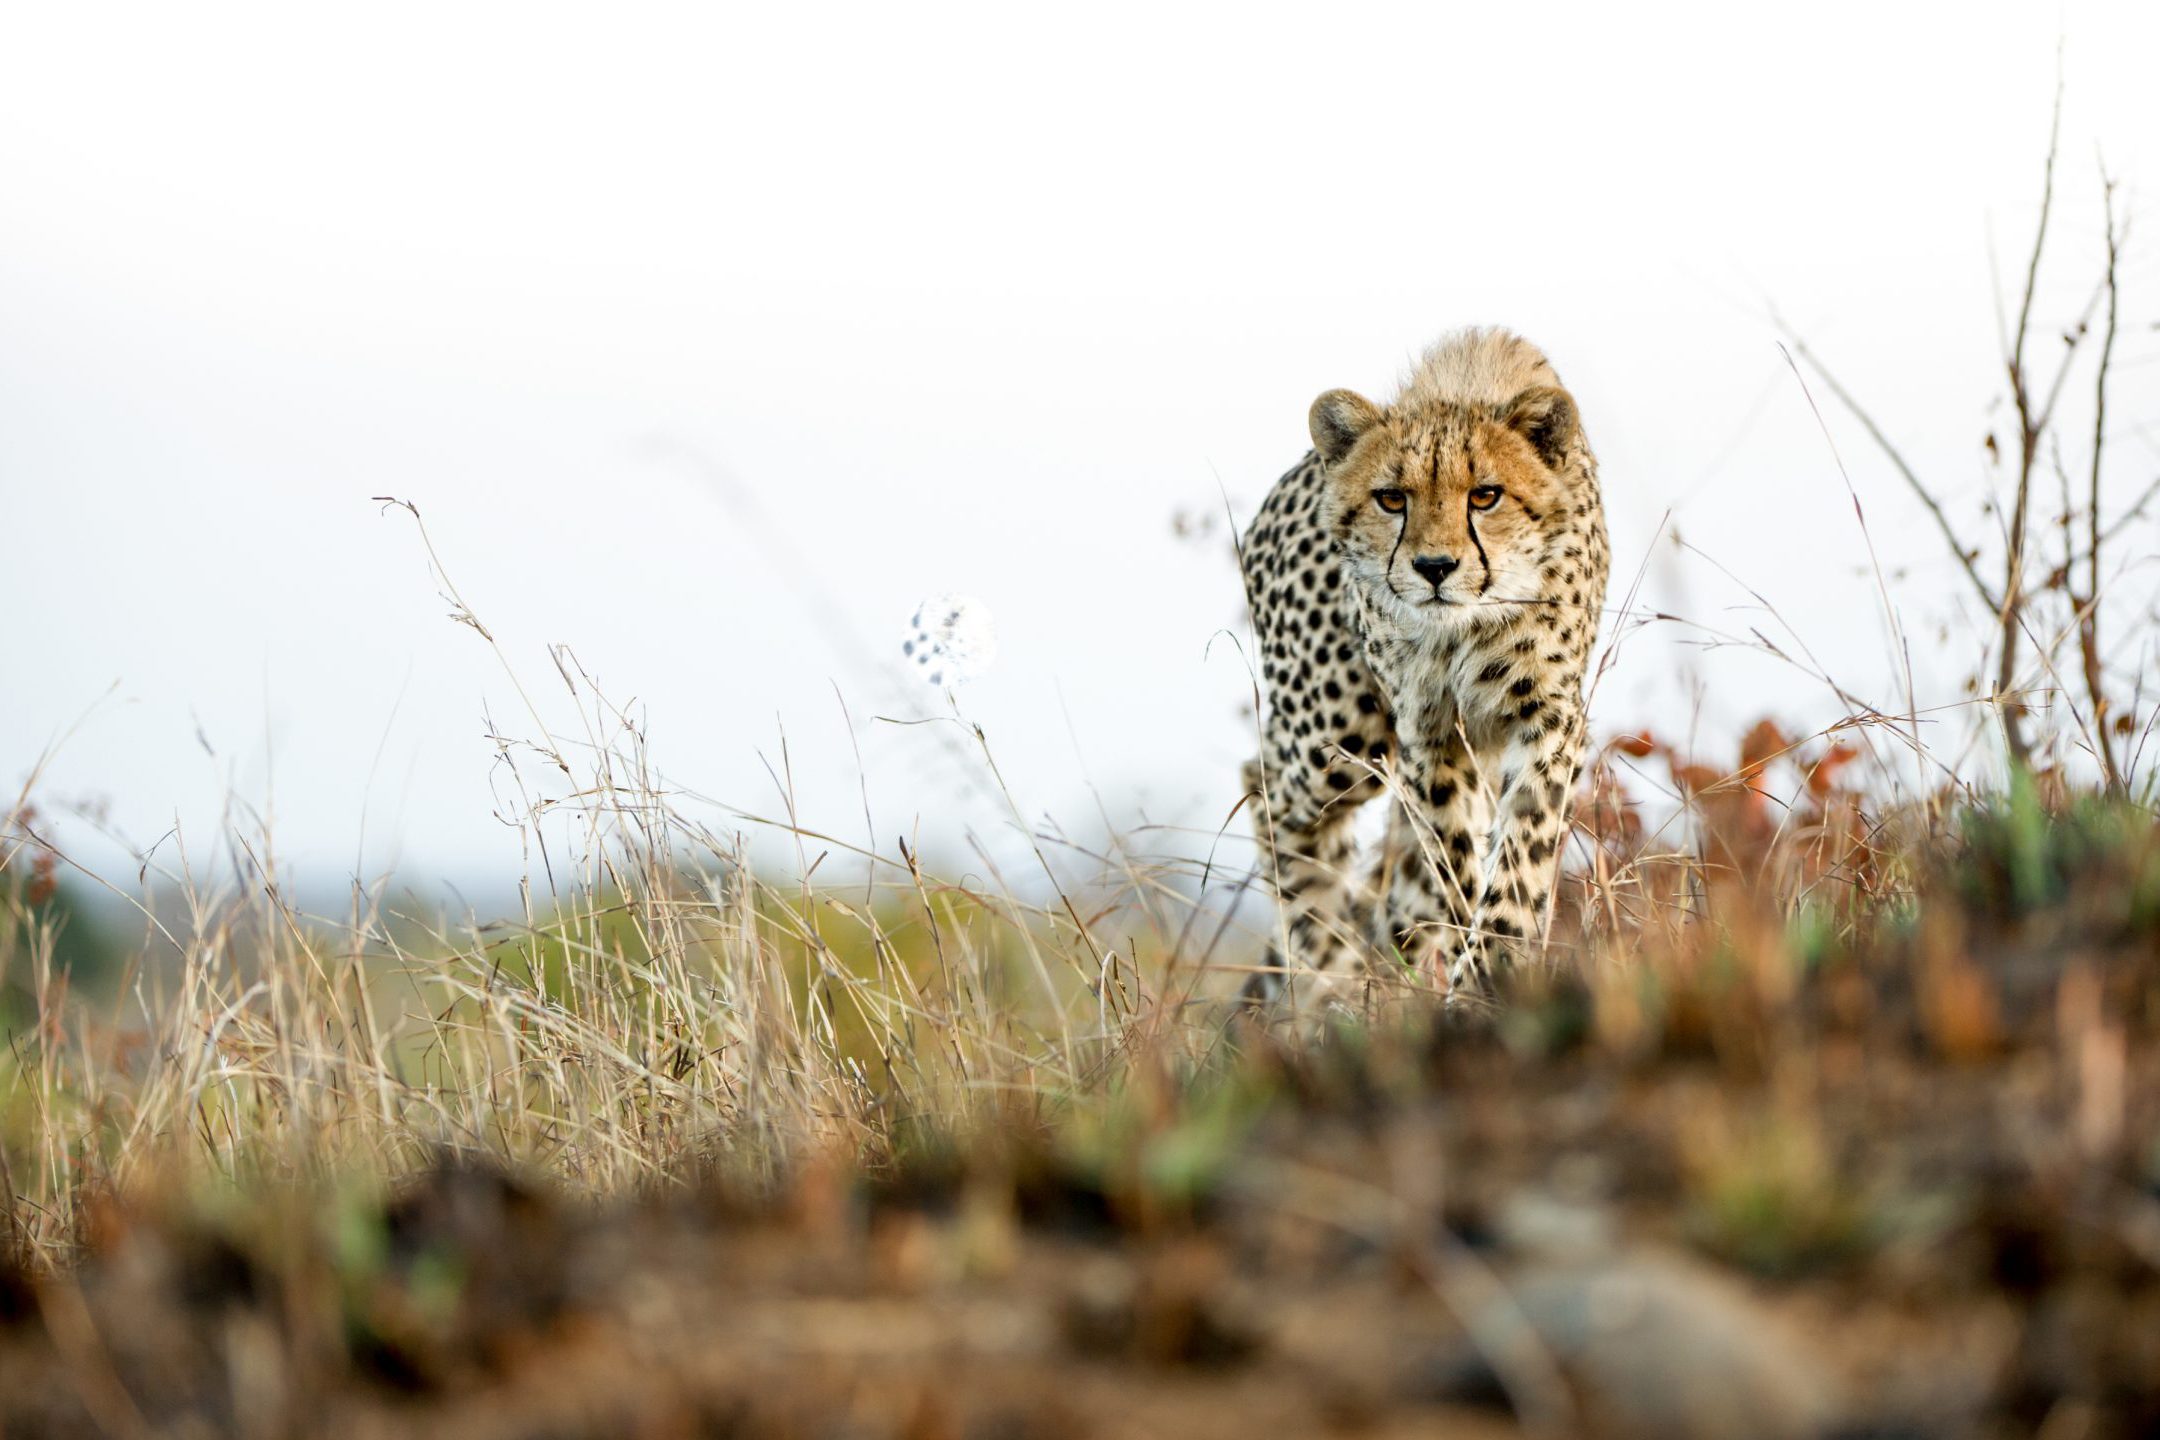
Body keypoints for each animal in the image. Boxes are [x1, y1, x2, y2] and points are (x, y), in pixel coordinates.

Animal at [1238, 327, 1609, 1013]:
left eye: (1485, 495)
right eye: (1391, 499)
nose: (1435, 567)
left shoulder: (1545, 717)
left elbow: (1522, 847)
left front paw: (1493, 966)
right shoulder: (1429, 731)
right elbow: (1454, 859)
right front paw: (1477, 978)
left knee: (1398, 898)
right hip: (1336, 730)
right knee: (1271, 789)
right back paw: (1323, 967)